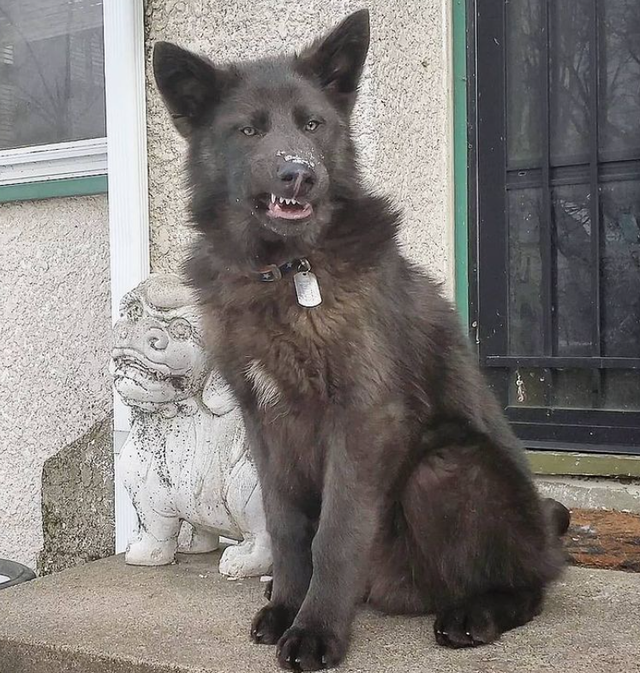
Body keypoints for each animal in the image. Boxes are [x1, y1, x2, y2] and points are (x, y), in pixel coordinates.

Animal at [152, 10, 568, 672]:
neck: (288, 271)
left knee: (530, 583)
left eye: (312, 124)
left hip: (447, 468)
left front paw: (316, 629)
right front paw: (287, 606)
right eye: (249, 129)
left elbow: (336, 534)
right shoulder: (266, 425)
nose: (300, 172)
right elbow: (288, 527)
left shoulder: (363, 418)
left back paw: (478, 613)